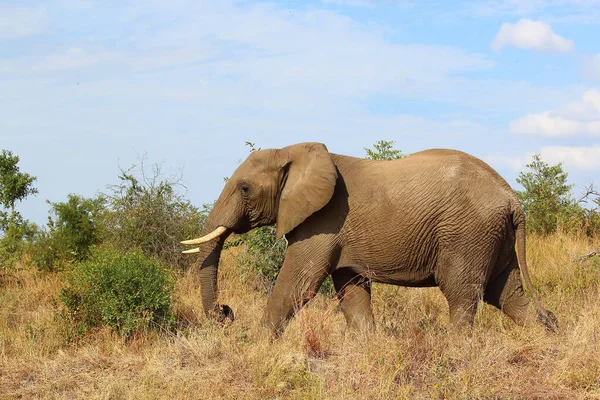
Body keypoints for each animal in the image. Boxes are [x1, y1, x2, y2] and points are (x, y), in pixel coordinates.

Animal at [180, 142, 556, 336]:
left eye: (245, 189)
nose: (226, 312)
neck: (293, 150)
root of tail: (513, 199)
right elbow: (351, 289)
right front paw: (367, 344)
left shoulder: (323, 221)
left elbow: (296, 284)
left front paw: (256, 345)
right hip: (493, 236)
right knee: (508, 295)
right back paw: (547, 337)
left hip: (468, 233)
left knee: (463, 295)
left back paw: (458, 354)